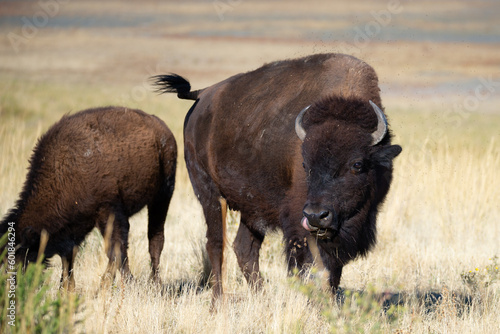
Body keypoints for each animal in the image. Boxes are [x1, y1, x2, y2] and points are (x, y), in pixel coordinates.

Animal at [0, 106, 177, 288]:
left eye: (17, 260)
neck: (64, 172)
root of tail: (162, 128)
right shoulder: (75, 227)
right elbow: (69, 258)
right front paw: (67, 288)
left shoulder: (109, 211)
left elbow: (116, 249)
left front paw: (121, 283)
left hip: (163, 195)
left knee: (155, 239)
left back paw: (155, 282)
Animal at [152, 52, 402, 302]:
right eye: (305, 164)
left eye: (357, 164)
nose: (317, 216)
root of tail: (203, 94)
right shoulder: (298, 223)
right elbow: (310, 266)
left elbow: (333, 271)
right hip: (210, 195)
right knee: (216, 244)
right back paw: (218, 301)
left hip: (251, 208)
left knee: (244, 248)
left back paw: (260, 296)